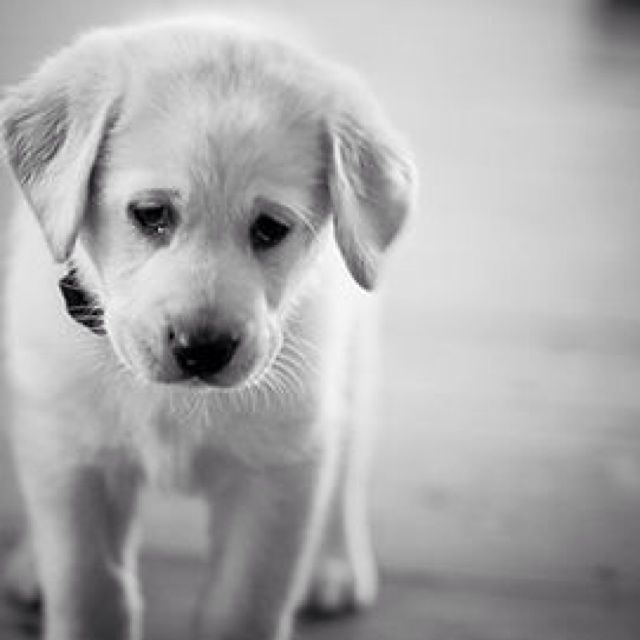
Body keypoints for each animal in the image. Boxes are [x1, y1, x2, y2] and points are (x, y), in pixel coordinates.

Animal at [0, 15, 415, 640]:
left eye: (270, 229)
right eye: (151, 215)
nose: (203, 349)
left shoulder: (277, 475)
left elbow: (240, 606)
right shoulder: (72, 459)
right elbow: (90, 588)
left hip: (351, 371)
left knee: (346, 468)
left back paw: (333, 566)